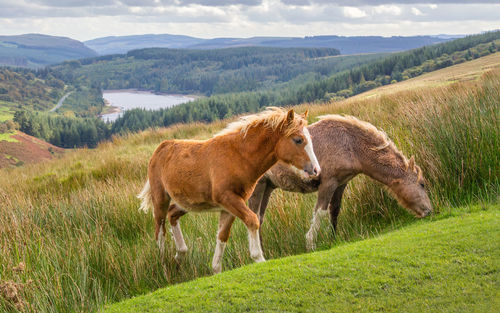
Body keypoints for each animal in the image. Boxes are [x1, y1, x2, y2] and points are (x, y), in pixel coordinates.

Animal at [139, 106, 322, 272]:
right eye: (298, 140)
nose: (316, 170)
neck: (239, 157)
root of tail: (161, 148)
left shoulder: (228, 207)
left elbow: (222, 237)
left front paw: (216, 269)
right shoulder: (228, 199)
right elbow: (253, 220)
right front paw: (259, 258)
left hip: (188, 202)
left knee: (172, 214)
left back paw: (180, 254)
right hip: (160, 199)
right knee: (159, 230)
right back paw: (164, 265)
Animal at [248, 114, 432, 249]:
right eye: (422, 184)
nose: (429, 211)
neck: (350, 143)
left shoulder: (340, 184)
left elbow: (334, 211)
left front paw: (333, 238)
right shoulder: (328, 183)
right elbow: (320, 212)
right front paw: (311, 243)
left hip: (267, 188)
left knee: (259, 219)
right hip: (258, 188)